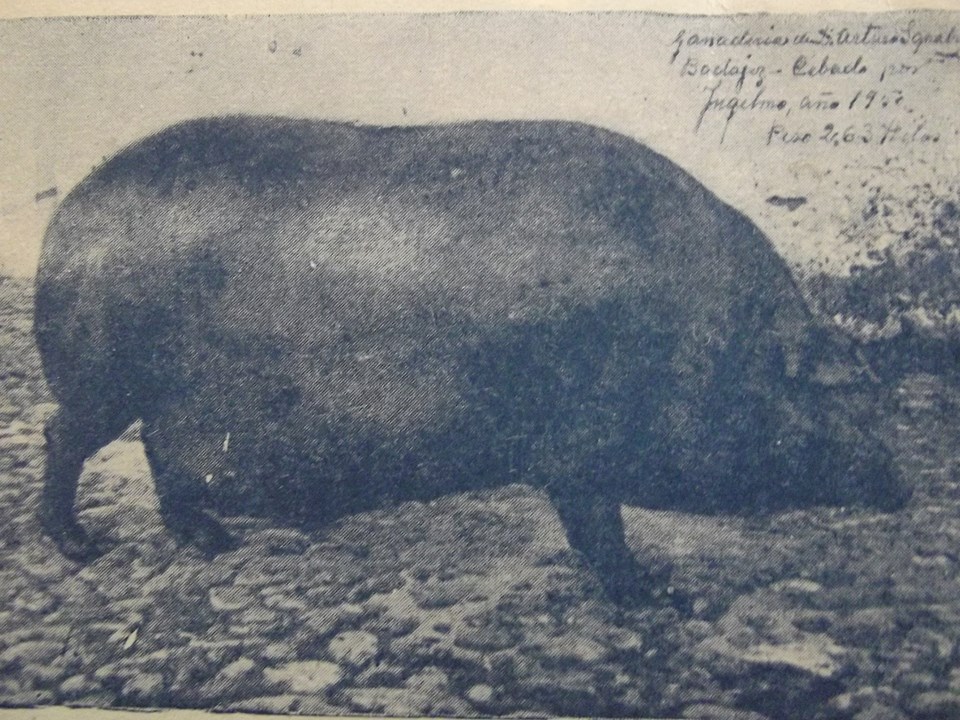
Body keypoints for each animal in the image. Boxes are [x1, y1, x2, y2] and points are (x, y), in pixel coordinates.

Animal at [33, 116, 909, 605]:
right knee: (62, 439)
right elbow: (600, 529)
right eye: (838, 391)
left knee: (159, 453)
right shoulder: (579, 449)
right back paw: (79, 548)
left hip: (153, 397)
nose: (906, 482)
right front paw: (658, 596)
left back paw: (216, 543)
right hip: (100, 376)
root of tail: (68, 218)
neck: (699, 341)